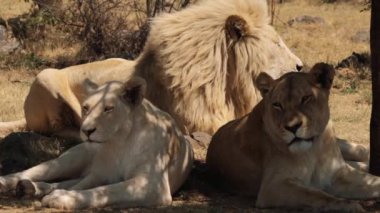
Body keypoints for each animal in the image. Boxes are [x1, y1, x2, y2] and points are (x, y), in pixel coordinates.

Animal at [0, 77, 193, 210]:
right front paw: (61, 196)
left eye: (108, 109)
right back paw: (10, 183)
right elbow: (85, 187)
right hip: (68, 160)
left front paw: (61, 198)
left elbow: (106, 190)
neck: (120, 142)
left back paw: (29, 188)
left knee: (62, 182)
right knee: (36, 172)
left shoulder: (153, 185)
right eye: (86, 108)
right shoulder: (99, 174)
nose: (86, 131)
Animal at [206, 62, 380, 211]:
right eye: (277, 105)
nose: (292, 127)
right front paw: (351, 206)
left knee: (361, 152)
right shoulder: (273, 186)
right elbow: (316, 195)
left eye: (305, 98)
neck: (314, 150)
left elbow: (374, 180)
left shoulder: (339, 173)